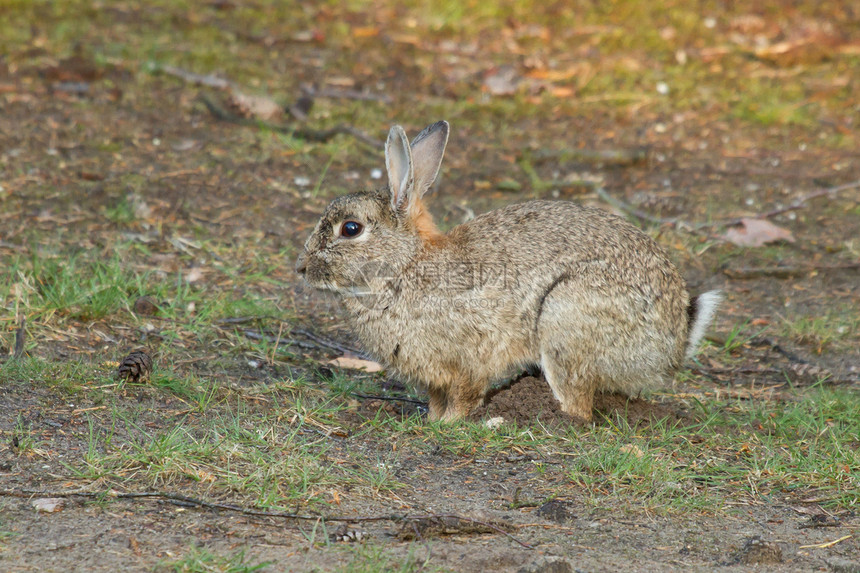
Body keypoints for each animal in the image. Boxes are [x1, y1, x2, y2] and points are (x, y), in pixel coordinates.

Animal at [296, 120, 720, 422]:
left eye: (351, 229)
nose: (301, 267)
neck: (404, 264)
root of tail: (673, 343)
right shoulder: (434, 377)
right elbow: (436, 399)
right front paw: (431, 421)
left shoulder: (470, 357)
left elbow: (464, 396)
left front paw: (449, 424)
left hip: (567, 316)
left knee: (579, 407)